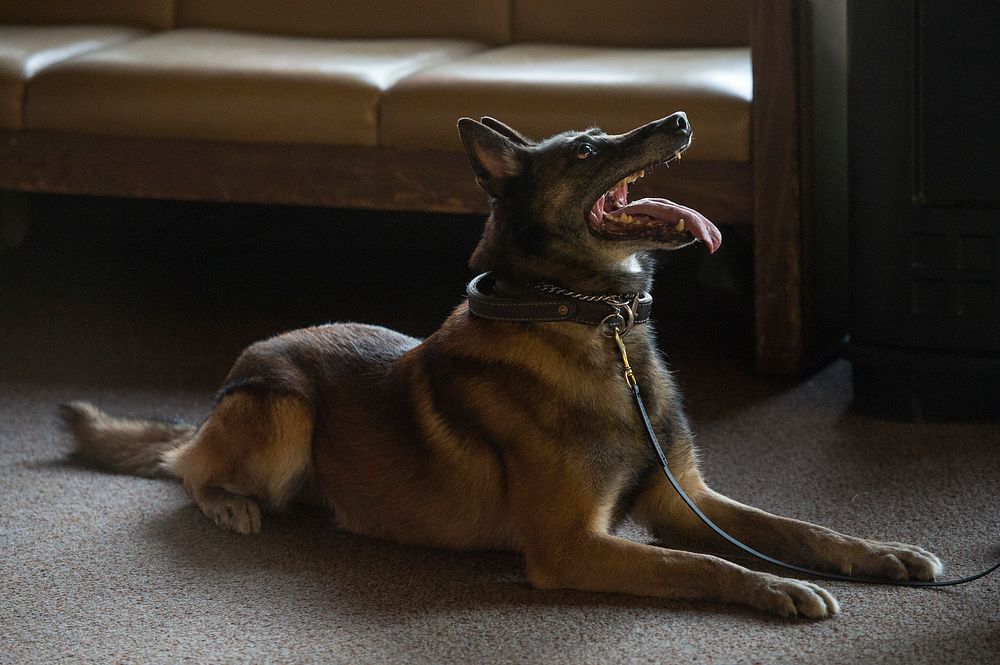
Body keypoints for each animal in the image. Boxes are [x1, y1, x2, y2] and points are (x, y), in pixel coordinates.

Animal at [64, 114, 944, 616]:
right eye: (587, 150)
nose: (682, 116)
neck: (595, 325)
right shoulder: (572, 547)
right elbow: (703, 563)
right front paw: (778, 587)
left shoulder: (683, 497)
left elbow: (796, 526)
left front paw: (879, 554)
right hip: (283, 412)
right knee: (188, 468)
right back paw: (230, 503)